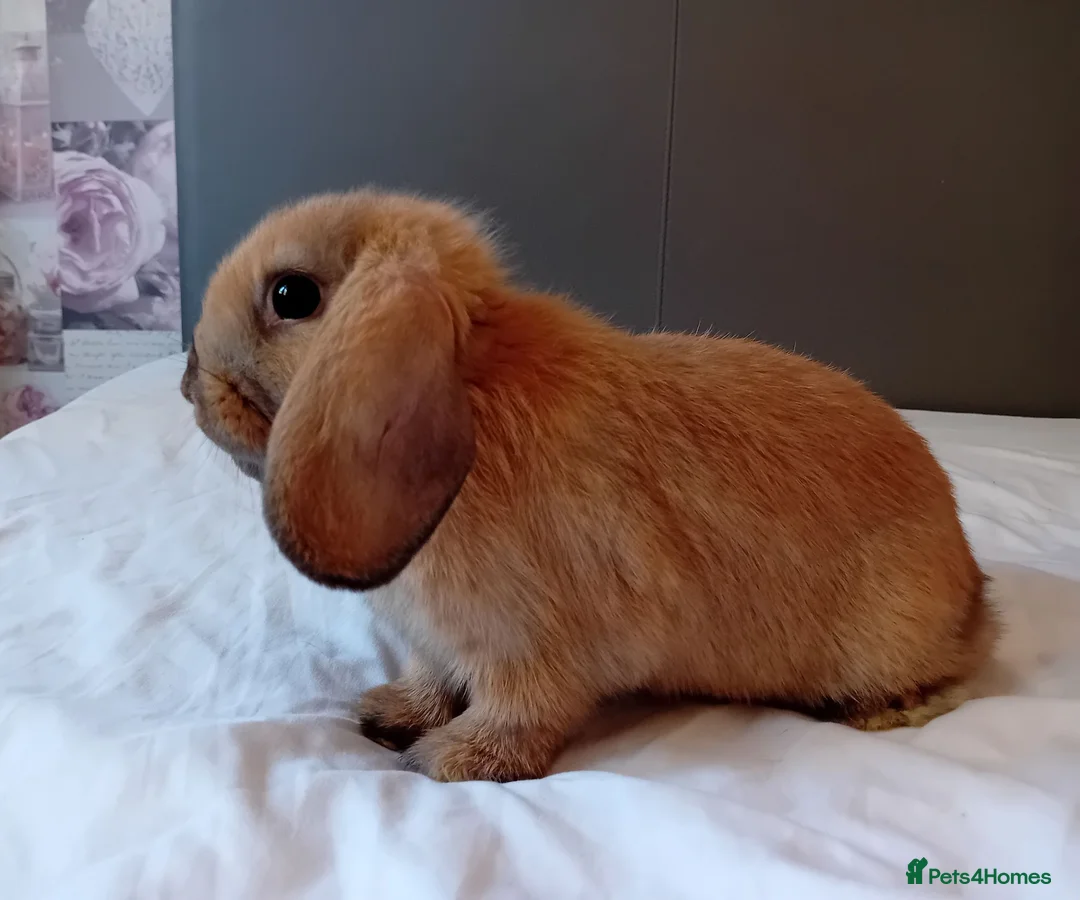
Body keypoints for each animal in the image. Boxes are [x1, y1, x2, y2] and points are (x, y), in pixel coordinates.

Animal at [182, 189, 999, 783]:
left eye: (292, 295)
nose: (191, 382)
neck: (474, 393)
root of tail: (973, 591)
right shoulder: (438, 645)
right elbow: (431, 681)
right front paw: (389, 714)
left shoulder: (525, 650)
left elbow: (519, 715)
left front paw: (450, 760)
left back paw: (870, 713)